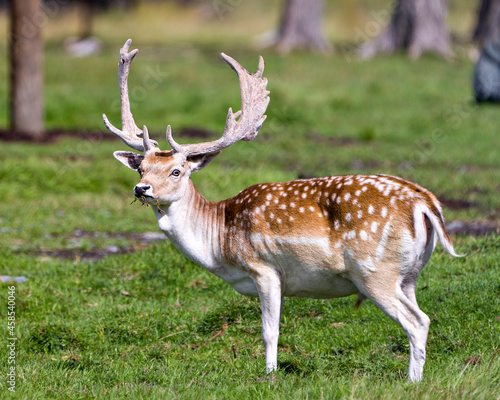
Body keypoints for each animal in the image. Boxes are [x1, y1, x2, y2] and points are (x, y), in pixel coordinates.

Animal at [102, 39, 460, 382]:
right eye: (141, 168)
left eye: (177, 171)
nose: (142, 189)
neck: (221, 243)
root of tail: (426, 204)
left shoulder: (265, 268)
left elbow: (269, 331)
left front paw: (270, 374)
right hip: (409, 274)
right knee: (420, 316)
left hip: (374, 271)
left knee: (418, 321)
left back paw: (412, 382)